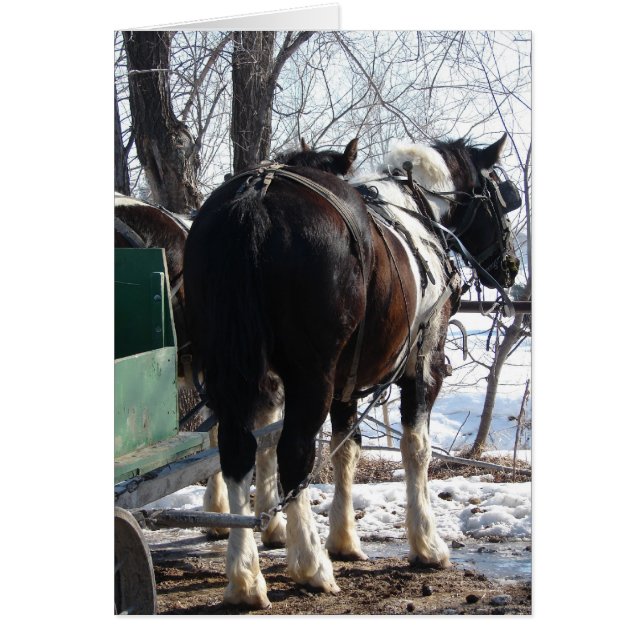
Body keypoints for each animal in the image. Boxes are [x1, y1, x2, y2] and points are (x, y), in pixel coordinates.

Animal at [183, 134, 520, 609]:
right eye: (502, 198)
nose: (511, 266)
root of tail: (256, 195)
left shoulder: (346, 378)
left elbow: (346, 449)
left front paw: (343, 539)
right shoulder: (423, 365)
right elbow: (416, 449)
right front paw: (426, 544)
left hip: (229, 367)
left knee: (236, 450)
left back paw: (244, 578)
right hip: (310, 373)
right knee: (293, 453)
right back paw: (309, 565)